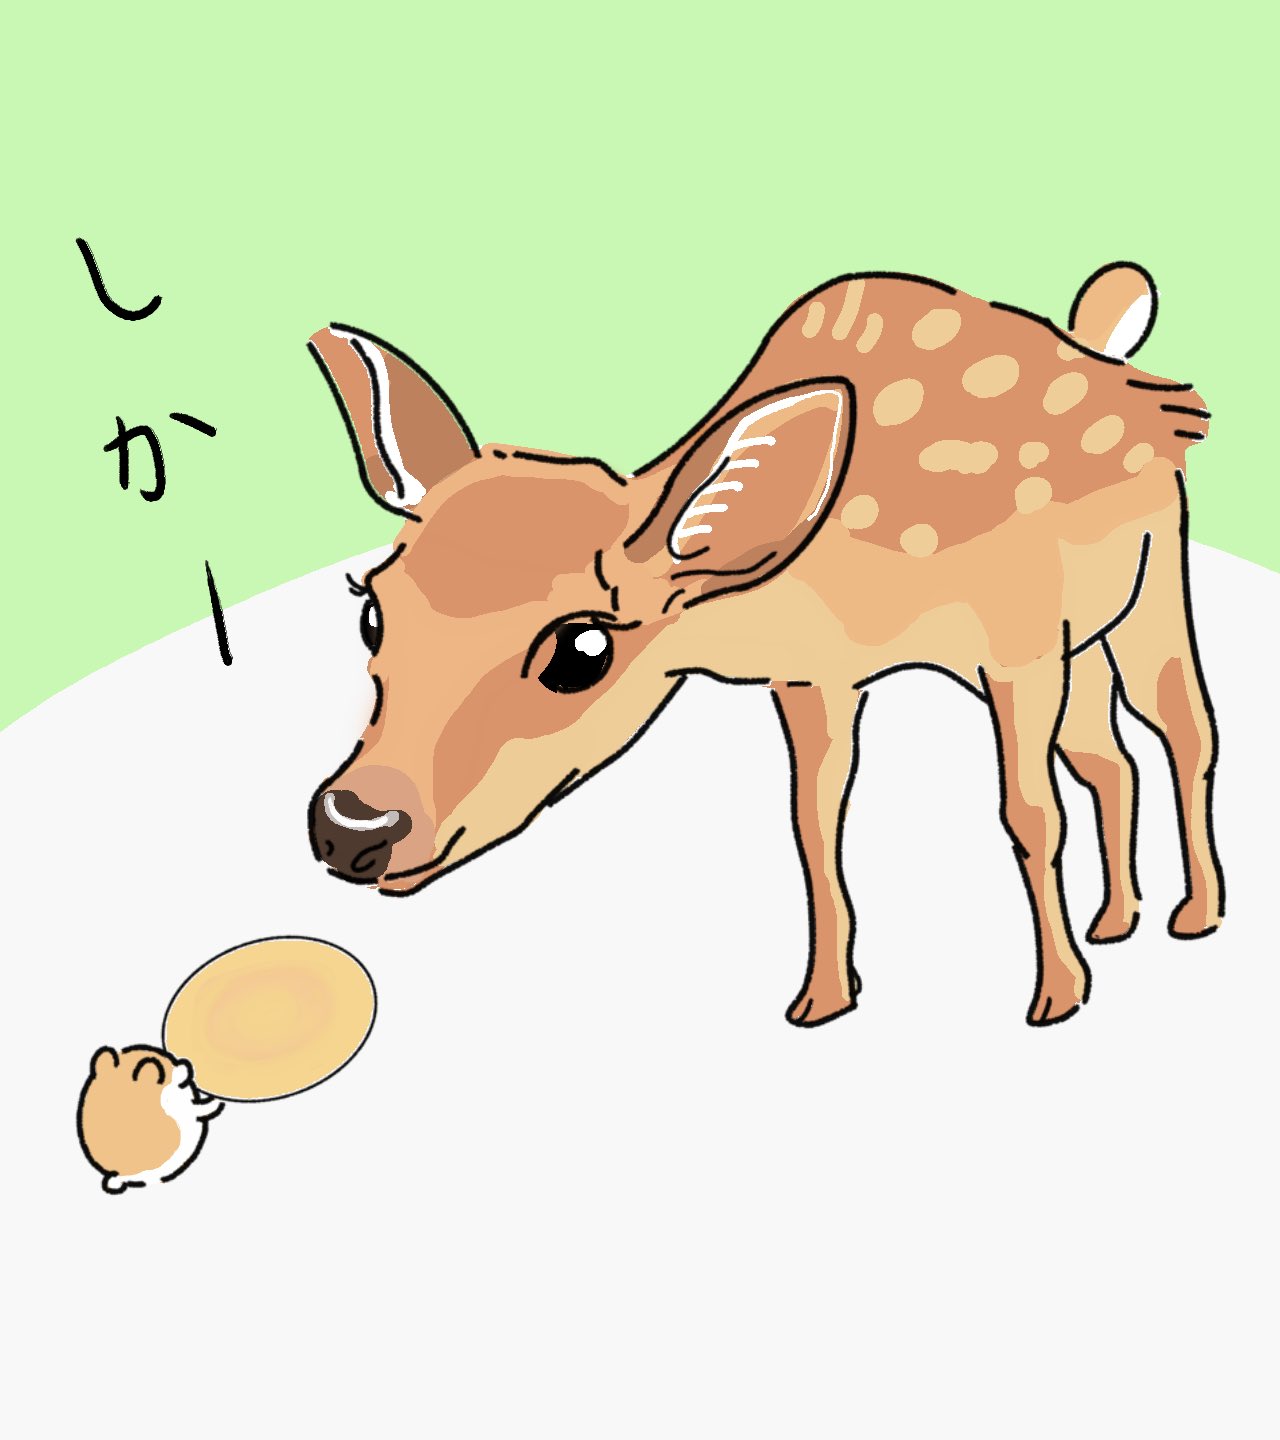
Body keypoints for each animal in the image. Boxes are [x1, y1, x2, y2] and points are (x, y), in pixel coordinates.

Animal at [306, 262, 1223, 1029]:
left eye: (582, 649)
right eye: (372, 612)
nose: (351, 824)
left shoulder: (1014, 640)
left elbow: (1029, 813)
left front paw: (1056, 998)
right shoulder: (816, 677)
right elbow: (812, 822)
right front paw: (822, 999)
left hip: (1152, 582)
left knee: (1185, 726)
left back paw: (1195, 916)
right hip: (1083, 641)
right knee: (1108, 756)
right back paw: (1116, 920)